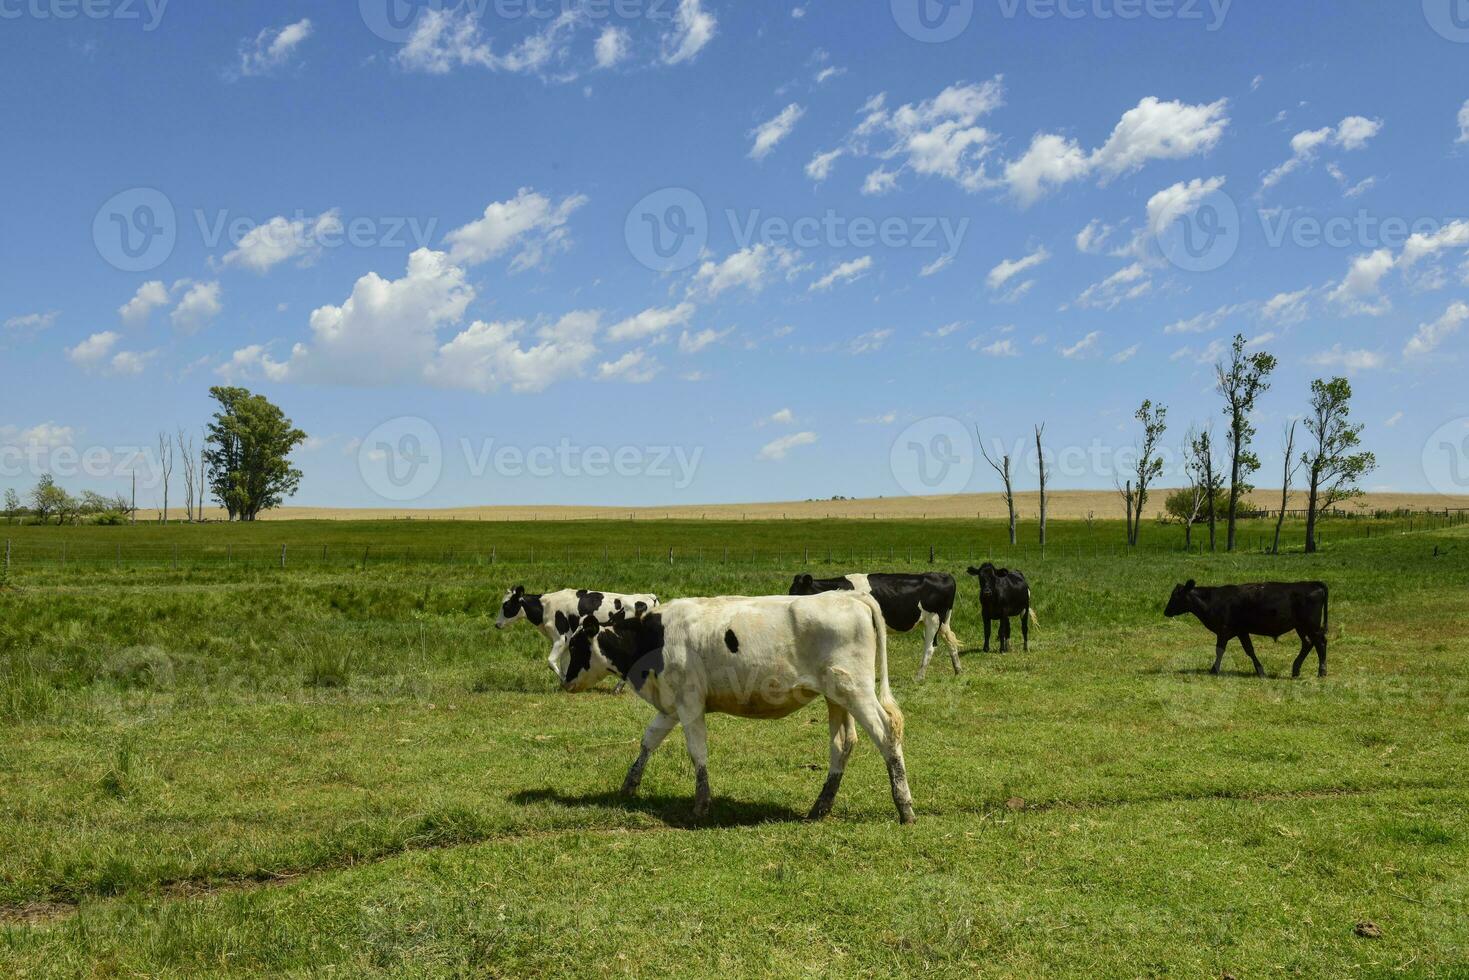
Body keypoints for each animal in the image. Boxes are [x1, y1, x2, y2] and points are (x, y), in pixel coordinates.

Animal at [496, 587, 658, 693]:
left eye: (506, 605)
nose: (496, 624)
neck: (545, 607)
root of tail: (649, 597)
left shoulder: (560, 638)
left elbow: (551, 661)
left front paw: (564, 681)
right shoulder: (567, 642)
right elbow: (564, 663)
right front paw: (565, 683)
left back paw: (618, 688)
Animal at [552, 593, 916, 822]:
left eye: (577, 644)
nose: (565, 682)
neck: (655, 635)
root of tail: (852, 596)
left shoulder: (690, 702)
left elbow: (697, 751)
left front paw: (701, 805)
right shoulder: (670, 706)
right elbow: (648, 741)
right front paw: (629, 785)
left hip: (856, 691)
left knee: (887, 733)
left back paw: (905, 807)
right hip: (836, 697)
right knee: (842, 744)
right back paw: (819, 808)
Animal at [793, 570, 963, 678]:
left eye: (798, 592)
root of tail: (944, 575)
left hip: (933, 619)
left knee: (930, 647)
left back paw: (919, 677)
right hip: (943, 621)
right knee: (951, 640)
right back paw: (958, 670)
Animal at [1157, 578, 1333, 678]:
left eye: (1176, 596)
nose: (1166, 611)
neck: (1214, 600)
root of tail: (1311, 583)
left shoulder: (1223, 630)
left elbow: (1220, 650)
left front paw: (1214, 670)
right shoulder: (1241, 631)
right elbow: (1249, 650)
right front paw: (1260, 671)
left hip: (1311, 625)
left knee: (1320, 643)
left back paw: (1321, 672)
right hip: (1301, 627)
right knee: (1308, 643)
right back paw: (1295, 670)